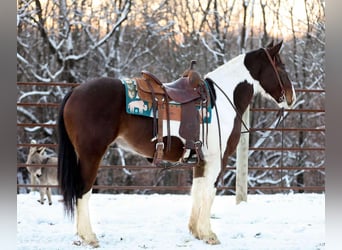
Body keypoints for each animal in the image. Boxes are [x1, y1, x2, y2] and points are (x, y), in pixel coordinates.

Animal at [57, 40, 296, 246]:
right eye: (281, 66)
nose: (291, 97)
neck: (221, 100)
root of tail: (75, 91)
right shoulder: (218, 159)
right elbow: (209, 192)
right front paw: (209, 234)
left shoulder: (201, 161)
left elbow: (198, 191)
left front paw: (196, 231)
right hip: (91, 155)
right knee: (83, 190)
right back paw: (89, 237)